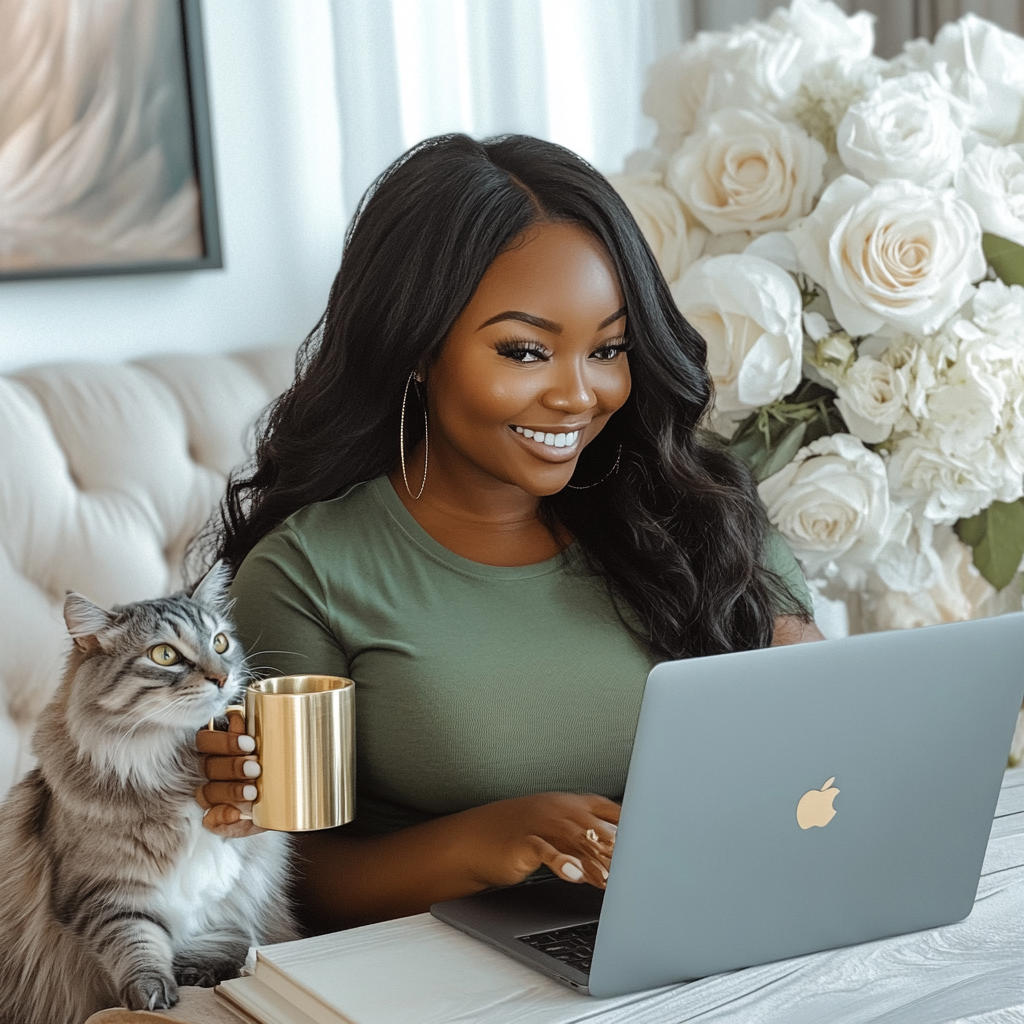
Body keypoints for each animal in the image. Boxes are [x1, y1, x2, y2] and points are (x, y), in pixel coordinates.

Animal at [0, 569, 296, 1024]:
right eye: (164, 655)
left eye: (220, 643)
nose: (222, 677)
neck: (177, 764)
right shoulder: (102, 890)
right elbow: (136, 941)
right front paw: (152, 991)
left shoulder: (229, 895)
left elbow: (228, 937)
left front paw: (201, 971)